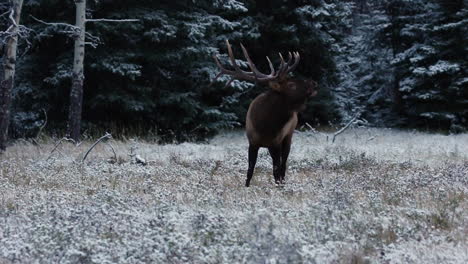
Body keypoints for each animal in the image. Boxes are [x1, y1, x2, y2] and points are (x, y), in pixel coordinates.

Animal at [213, 40, 318, 187]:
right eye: (291, 84)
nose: (313, 83)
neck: (265, 125)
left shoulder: (276, 142)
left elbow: (276, 170)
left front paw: (279, 185)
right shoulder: (253, 142)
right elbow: (250, 170)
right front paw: (247, 186)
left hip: (288, 136)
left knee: (284, 164)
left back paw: (283, 182)